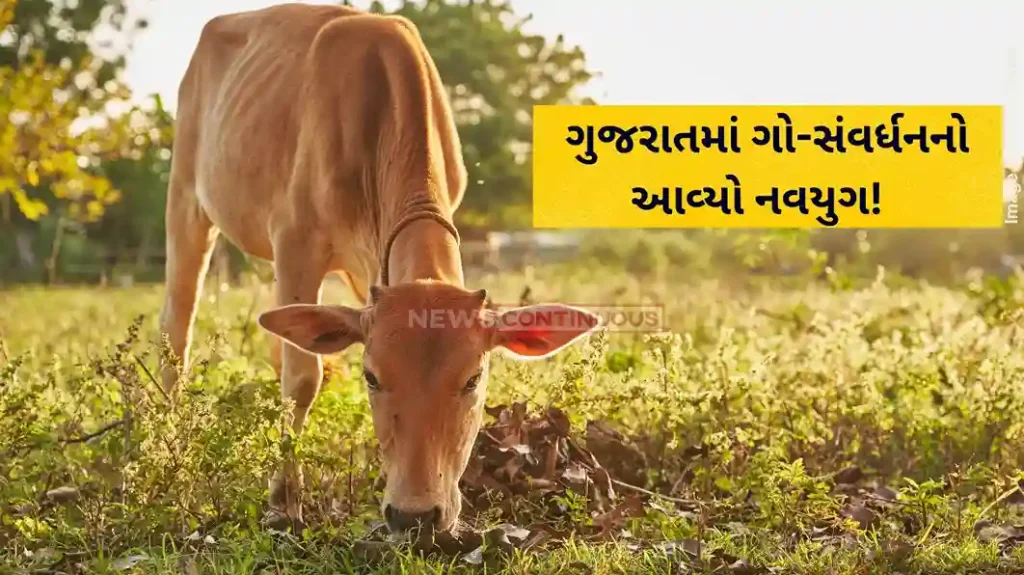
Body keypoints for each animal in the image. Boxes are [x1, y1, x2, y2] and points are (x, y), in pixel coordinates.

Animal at [159, 4, 599, 534]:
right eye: (371, 376)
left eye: (473, 379)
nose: (415, 515)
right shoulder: (295, 240)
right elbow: (302, 378)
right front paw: (283, 502)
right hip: (187, 198)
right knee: (176, 332)